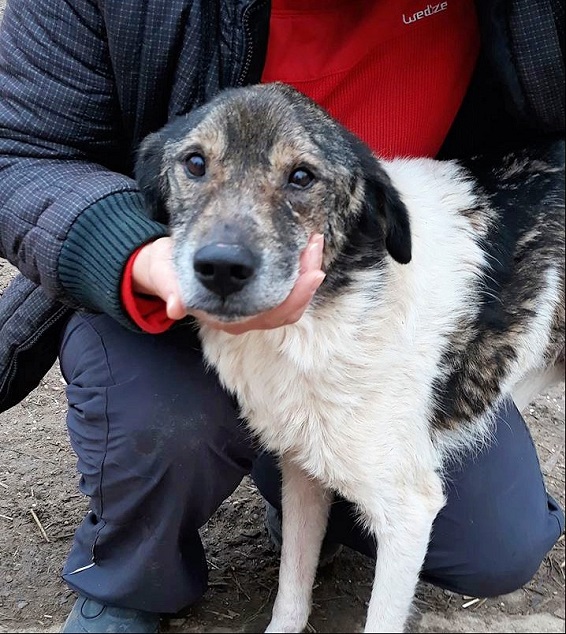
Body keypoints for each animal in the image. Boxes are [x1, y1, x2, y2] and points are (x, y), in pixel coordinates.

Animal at [135, 84, 564, 632]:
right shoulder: (302, 471)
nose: (222, 268)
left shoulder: (409, 512)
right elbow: (291, 591)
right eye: (195, 163)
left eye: (301, 176)